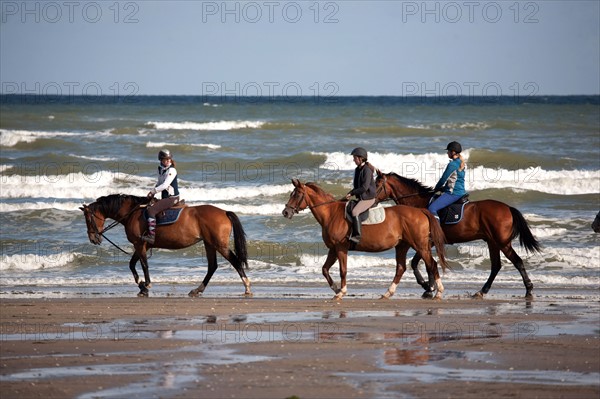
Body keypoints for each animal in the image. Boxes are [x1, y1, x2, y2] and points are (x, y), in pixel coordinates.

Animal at [79, 194, 248, 296]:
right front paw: (141, 284)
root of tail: (224, 212)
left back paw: (247, 286)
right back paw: (197, 289)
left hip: (219, 244)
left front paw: (146, 285)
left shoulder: (140, 244)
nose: (93, 239)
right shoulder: (142, 245)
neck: (132, 213)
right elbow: (132, 264)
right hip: (209, 244)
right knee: (212, 266)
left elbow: (143, 265)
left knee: (234, 261)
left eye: (87, 219)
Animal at [282, 180, 446, 300]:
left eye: (297, 195)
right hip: (402, 246)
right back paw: (388, 293)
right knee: (401, 268)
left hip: (420, 246)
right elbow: (325, 269)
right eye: (291, 194)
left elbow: (343, 270)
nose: (285, 212)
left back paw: (438, 292)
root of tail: (421, 211)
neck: (331, 214)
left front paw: (341, 291)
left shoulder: (341, 248)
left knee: (432, 264)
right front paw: (336, 289)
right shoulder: (333, 249)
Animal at [376, 170, 540, 298]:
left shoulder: (427, 242)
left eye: (377, 185)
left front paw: (427, 287)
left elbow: (420, 263)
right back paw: (482, 291)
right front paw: (429, 287)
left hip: (502, 242)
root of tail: (507, 208)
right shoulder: (426, 243)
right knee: (496, 266)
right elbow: (422, 264)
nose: (370, 199)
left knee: (517, 261)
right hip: (492, 242)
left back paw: (528, 289)